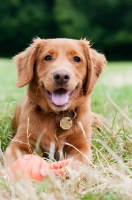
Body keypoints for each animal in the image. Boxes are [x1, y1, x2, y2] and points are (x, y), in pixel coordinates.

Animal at [4, 37, 106, 166]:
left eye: (77, 59)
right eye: (47, 57)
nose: (61, 76)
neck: (57, 115)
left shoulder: (81, 146)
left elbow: (77, 163)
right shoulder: (19, 143)